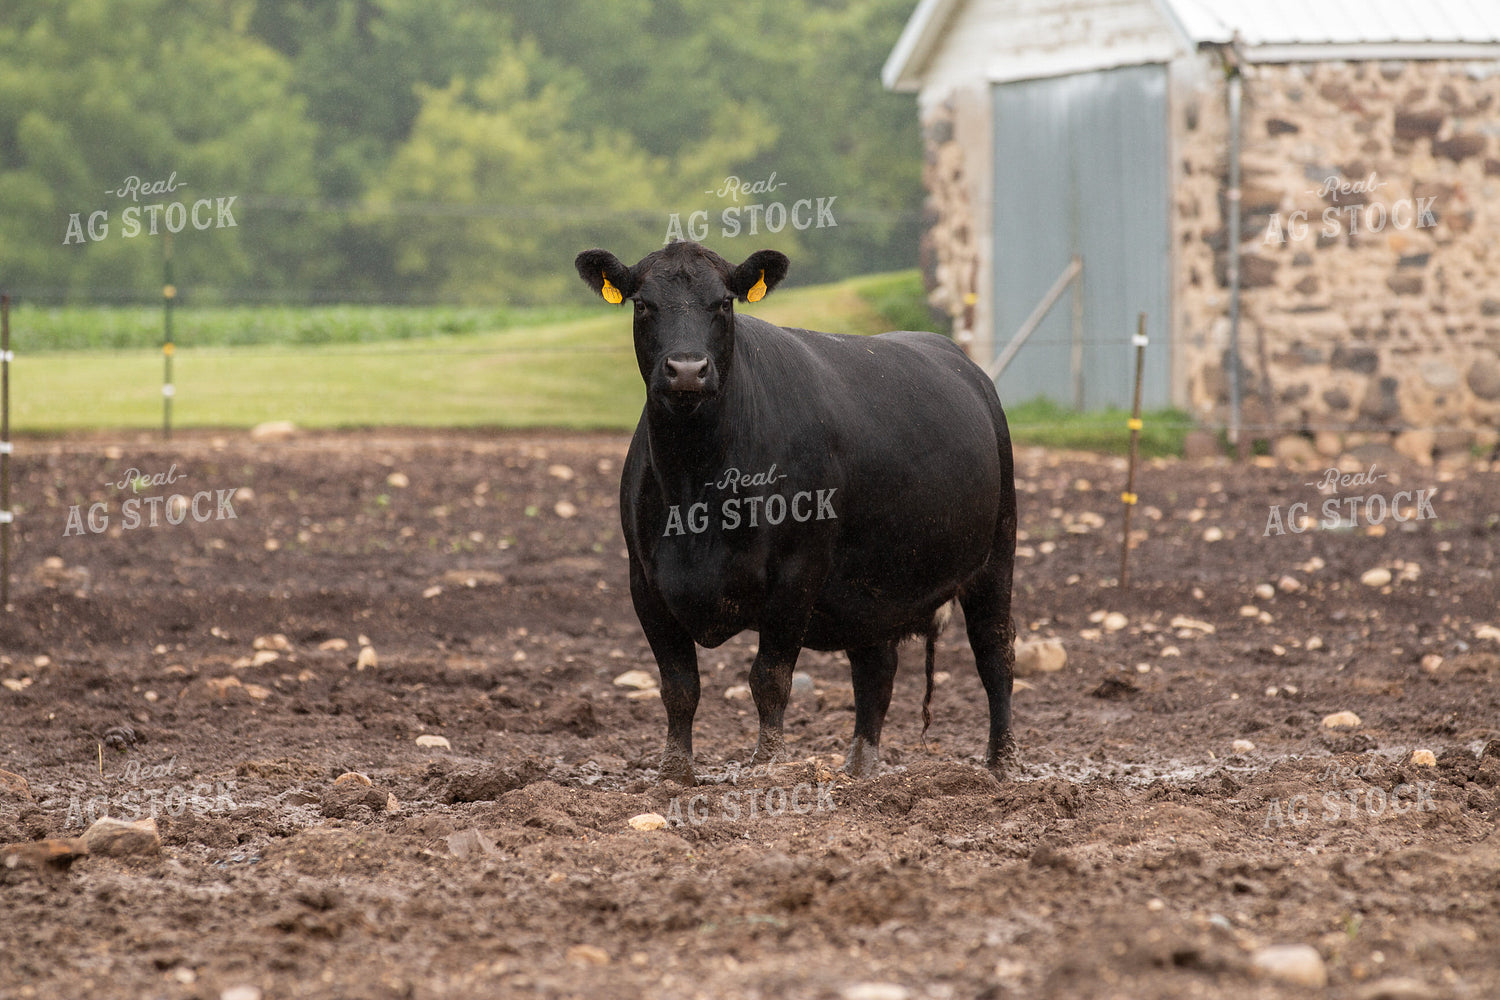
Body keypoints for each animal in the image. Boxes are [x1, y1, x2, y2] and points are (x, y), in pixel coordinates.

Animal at [573, 240, 1017, 785]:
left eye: (724, 304)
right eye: (642, 304)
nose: (687, 369)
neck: (697, 481)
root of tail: (961, 361)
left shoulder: (795, 574)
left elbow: (769, 678)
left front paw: (767, 764)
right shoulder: (645, 582)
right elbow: (678, 685)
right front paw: (674, 771)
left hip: (996, 556)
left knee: (995, 652)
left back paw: (1001, 766)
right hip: (872, 587)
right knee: (876, 670)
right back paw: (859, 769)